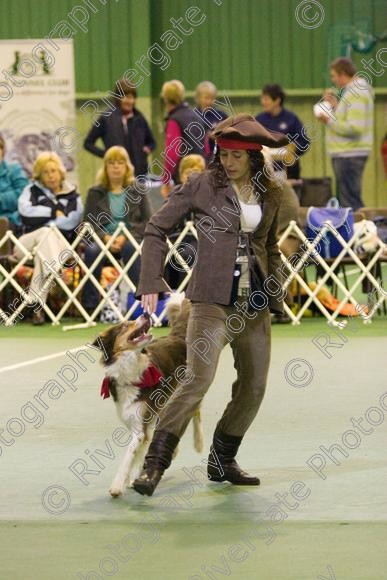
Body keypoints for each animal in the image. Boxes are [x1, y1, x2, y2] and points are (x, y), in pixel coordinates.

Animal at [93, 296, 205, 496]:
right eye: (124, 325)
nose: (145, 313)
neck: (129, 371)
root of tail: (176, 336)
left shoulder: (139, 427)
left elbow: (129, 455)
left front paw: (118, 485)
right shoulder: (135, 420)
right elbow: (140, 451)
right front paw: (133, 477)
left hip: (186, 387)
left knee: (196, 409)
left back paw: (199, 442)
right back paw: (174, 450)